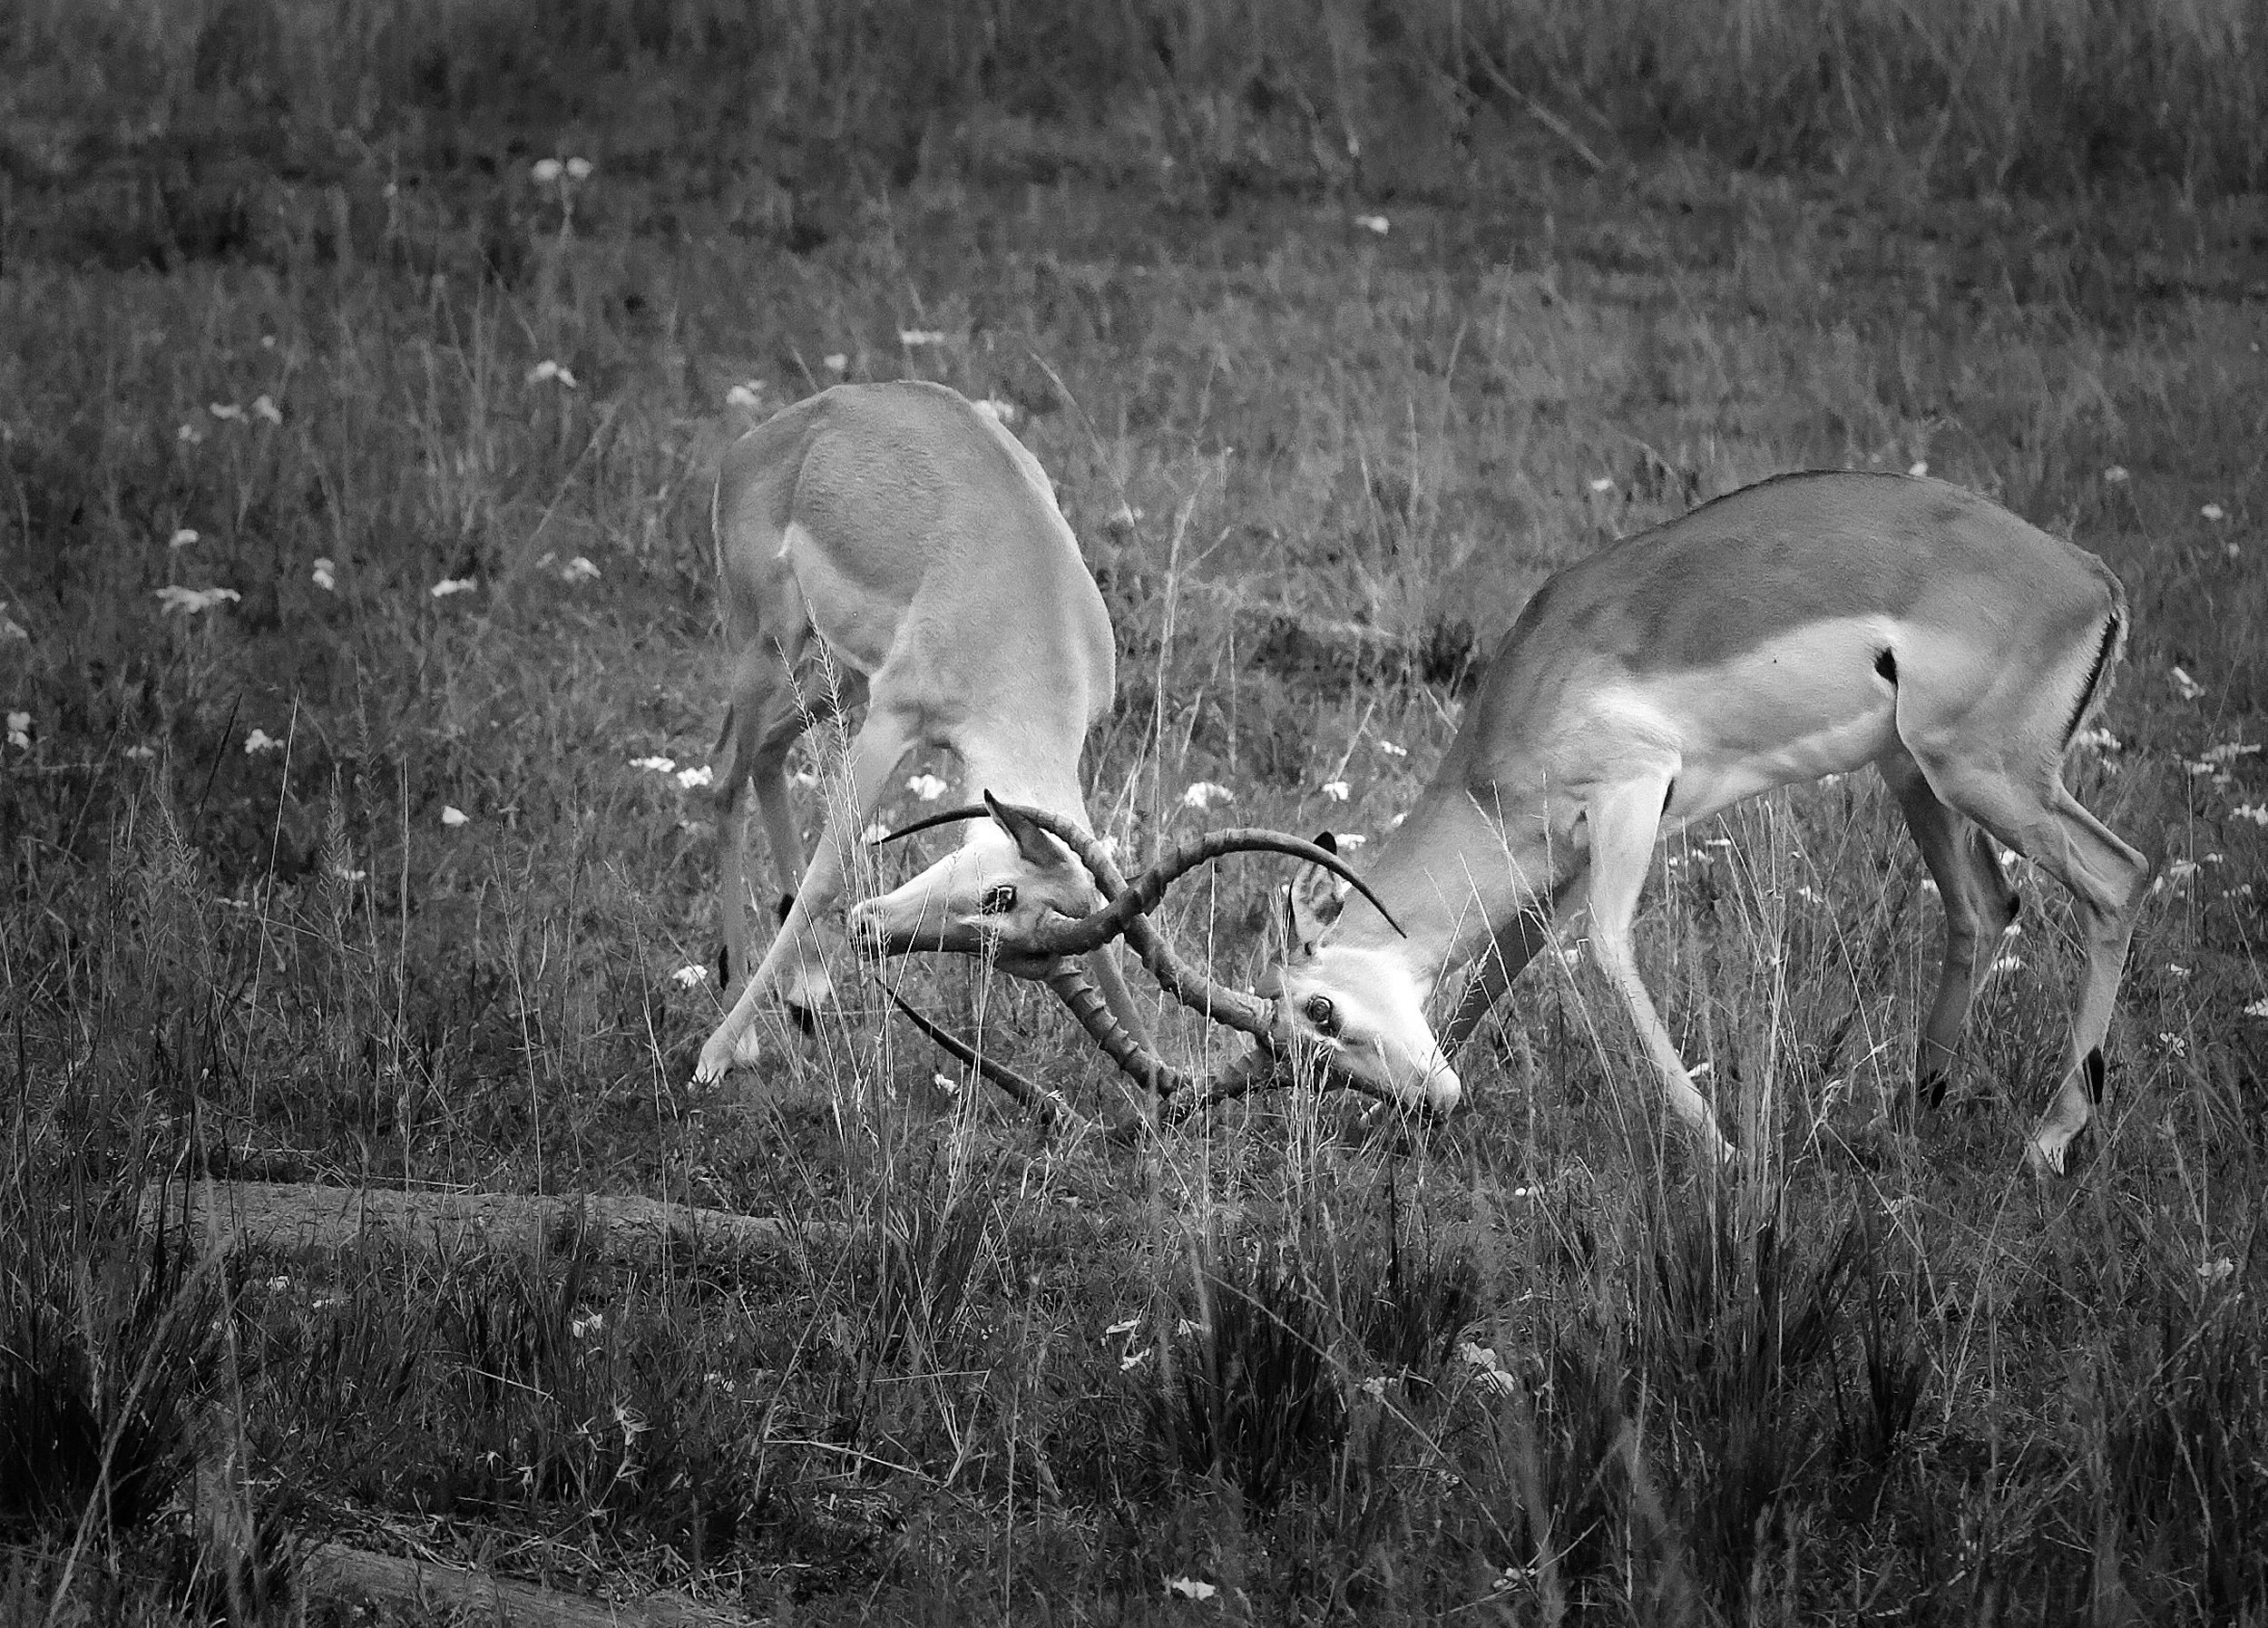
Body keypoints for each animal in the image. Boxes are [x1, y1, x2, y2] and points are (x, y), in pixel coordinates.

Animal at [924, 473, 2152, 1175]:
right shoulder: (1552, 861)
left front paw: (1719, 1149)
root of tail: (2088, 575)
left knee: (2119, 877)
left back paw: (2049, 1141)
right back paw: (1909, 1115)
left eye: (1319, 1012)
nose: (1425, 1102)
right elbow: (1495, 976)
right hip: (1919, 777)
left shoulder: (1631, 800)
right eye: (1310, 1061)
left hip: (1981, 772)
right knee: (1985, 904)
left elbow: (1606, 951)